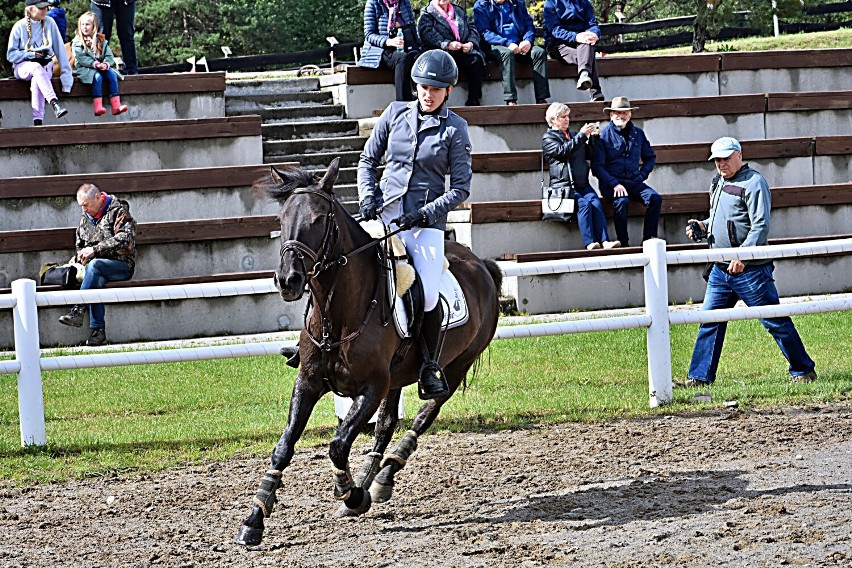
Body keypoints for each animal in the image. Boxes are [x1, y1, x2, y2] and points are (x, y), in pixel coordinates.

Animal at [235, 156, 500, 544]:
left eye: (319, 220)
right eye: (281, 220)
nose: (288, 280)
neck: (339, 314)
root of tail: (482, 264)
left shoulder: (372, 387)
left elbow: (338, 444)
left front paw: (351, 493)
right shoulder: (309, 382)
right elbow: (284, 447)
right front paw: (256, 517)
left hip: (454, 368)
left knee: (426, 412)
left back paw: (382, 477)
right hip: (398, 378)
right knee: (386, 425)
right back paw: (373, 479)